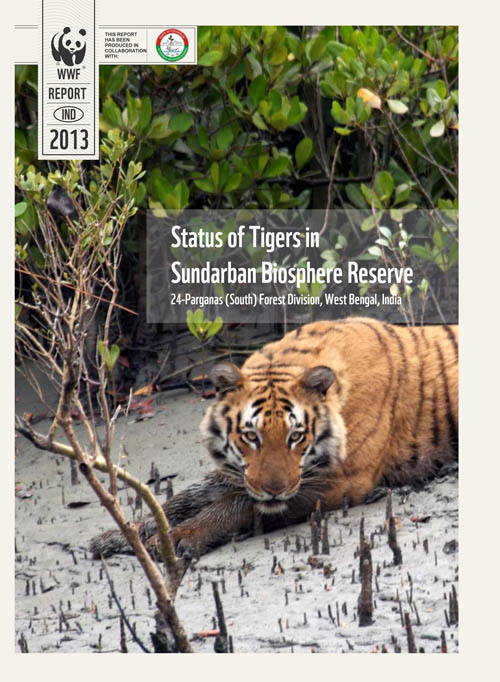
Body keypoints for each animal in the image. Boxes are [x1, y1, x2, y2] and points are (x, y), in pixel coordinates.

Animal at [90, 316, 458, 560]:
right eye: (250, 436)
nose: (274, 489)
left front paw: (180, 537)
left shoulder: (342, 481)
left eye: (296, 436)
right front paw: (119, 535)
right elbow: (183, 498)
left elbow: (237, 504)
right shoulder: (242, 472)